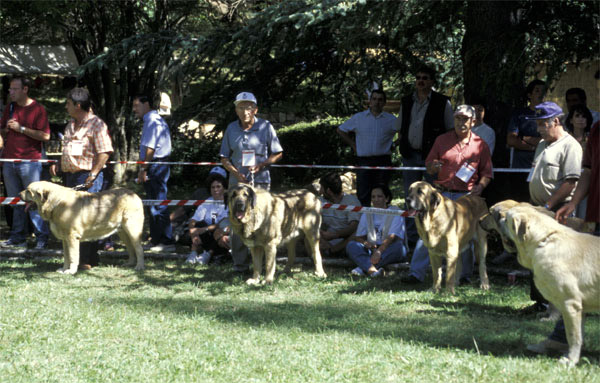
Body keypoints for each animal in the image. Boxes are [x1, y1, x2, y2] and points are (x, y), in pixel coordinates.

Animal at [504, 207, 596, 366]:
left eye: (507, 219)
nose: (500, 218)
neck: (543, 241)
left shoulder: (570, 304)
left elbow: (573, 336)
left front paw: (570, 360)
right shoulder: (580, 307)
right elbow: (579, 334)